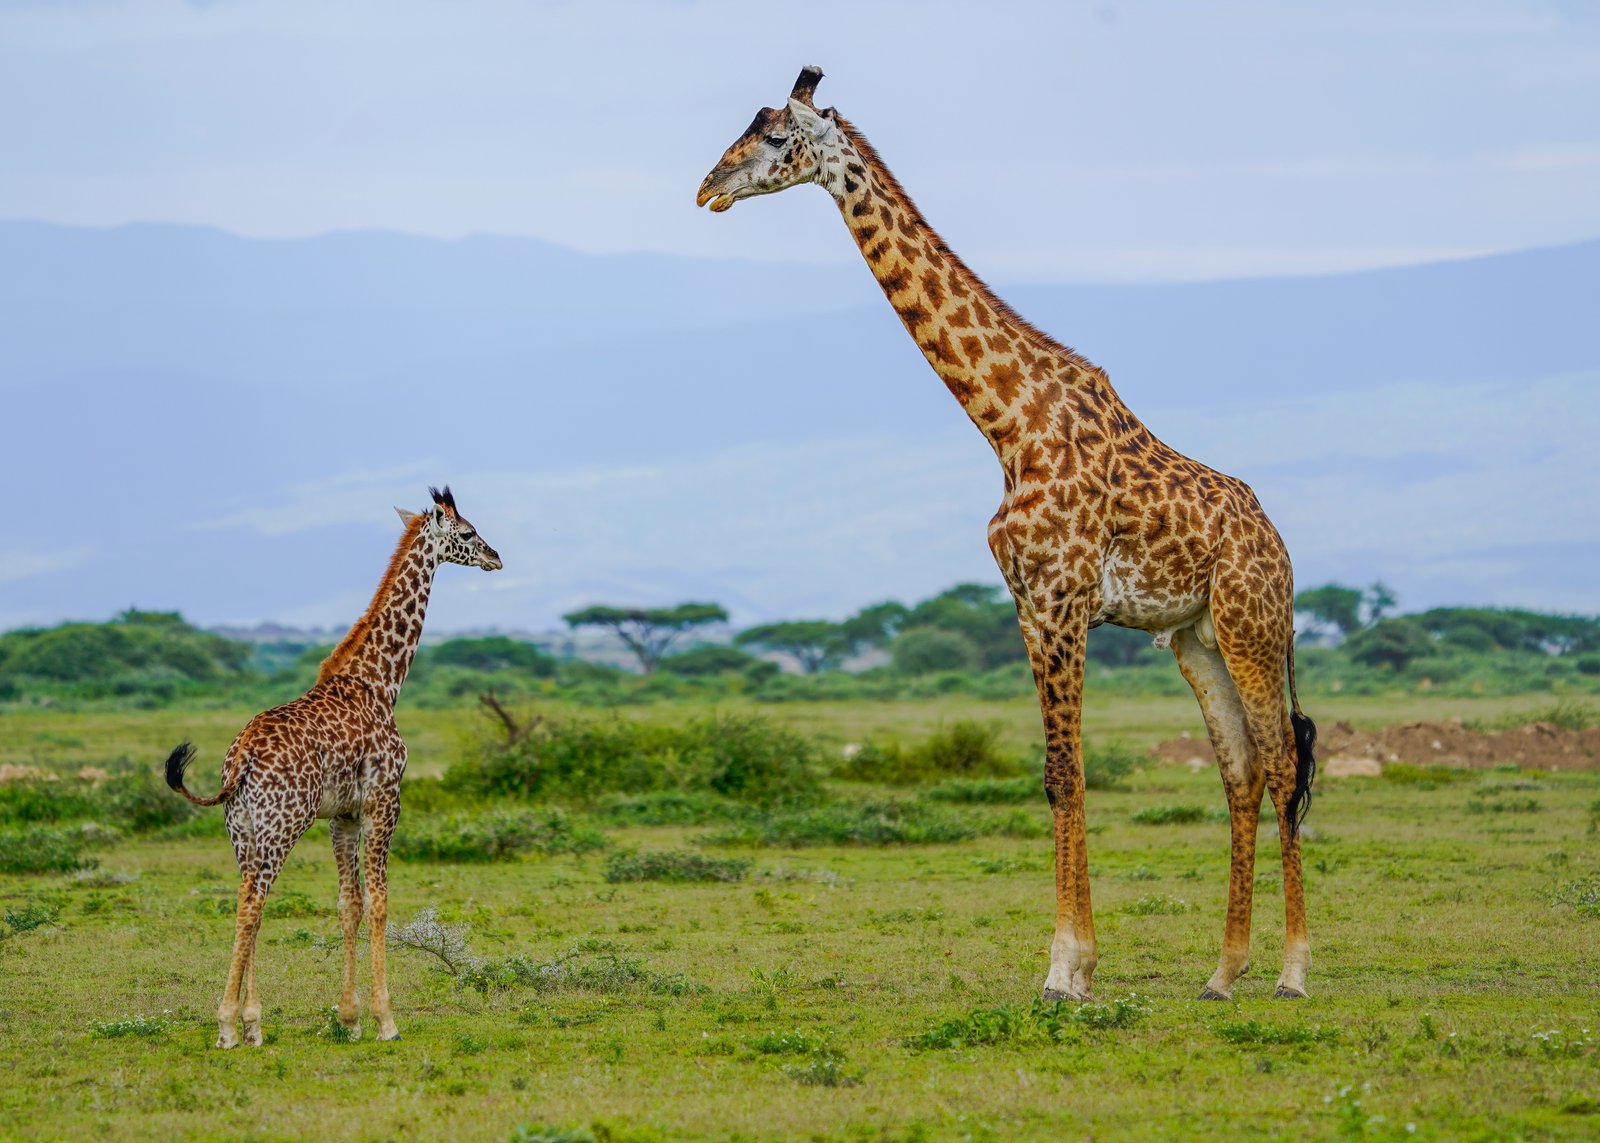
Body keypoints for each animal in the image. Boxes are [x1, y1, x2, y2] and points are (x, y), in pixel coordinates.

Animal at [165, 486, 502, 1047]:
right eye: (469, 531)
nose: (497, 557)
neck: (381, 681)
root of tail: (242, 756)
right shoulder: (384, 800)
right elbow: (381, 901)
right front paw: (386, 1020)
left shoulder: (342, 815)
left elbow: (350, 905)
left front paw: (349, 1017)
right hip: (283, 823)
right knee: (253, 902)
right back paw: (229, 1025)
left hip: (243, 829)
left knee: (246, 899)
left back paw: (253, 1023)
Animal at [698, 68, 1318, 1002]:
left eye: (775, 138)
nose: (707, 187)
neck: (1007, 421)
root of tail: (1281, 543)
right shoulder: (1028, 606)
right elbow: (1059, 772)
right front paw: (1077, 963)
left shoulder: (1062, 600)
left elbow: (1067, 771)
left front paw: (1065, 970)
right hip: (1194, 637)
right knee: (1241, 770)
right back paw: (1222, 970)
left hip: (1253, 624)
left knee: (1283, 764)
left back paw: (1292, 968)